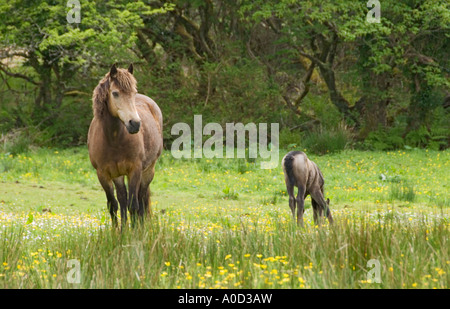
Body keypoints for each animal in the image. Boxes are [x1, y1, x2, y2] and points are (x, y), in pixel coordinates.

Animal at [87, 63, 163, 226]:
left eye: (133, 93)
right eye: (115, 93)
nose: (135, 124)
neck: (113, 140)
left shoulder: (134, 170)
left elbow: (133, 205)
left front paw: (134, 232)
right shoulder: (103, 174)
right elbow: (113, 205)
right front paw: (117, 232)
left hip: (148, 171)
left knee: (141, 199)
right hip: (118, 175)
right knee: (122, 200)